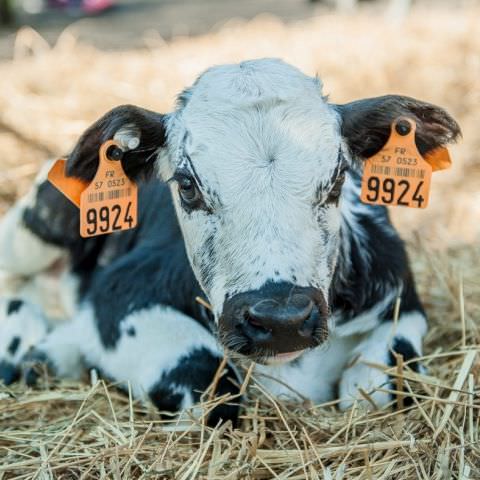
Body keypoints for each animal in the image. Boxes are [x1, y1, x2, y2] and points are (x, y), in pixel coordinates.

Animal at [0, 60, 460, 424]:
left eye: (337, 179)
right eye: (187, 186)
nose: (281, 320)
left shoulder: (402, 299)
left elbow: (377, 383)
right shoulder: (118, 294)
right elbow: (210, 386)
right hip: (33, 227)